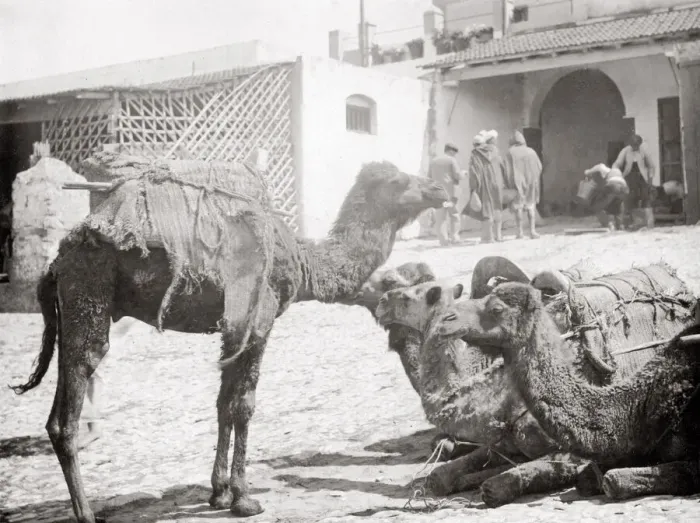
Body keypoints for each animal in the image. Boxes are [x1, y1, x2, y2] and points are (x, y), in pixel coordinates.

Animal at [10, 161, 448, 523]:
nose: (440, 188)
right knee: (71, 402)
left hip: (71, 311)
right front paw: (244, 498)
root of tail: (56, 261)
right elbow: (244, 405)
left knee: (60, 400)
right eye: (398, 181)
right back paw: (86, 513)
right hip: (89, 292)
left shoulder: (232, 328)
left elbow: (222, 404)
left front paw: (219, 493)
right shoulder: (259, 321)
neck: (301, 259)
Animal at [375, 261, 696, 506]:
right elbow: (441, 475)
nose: (381, 301)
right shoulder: (502, 443)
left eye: (413, 295)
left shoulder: (566, 451)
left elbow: (505, 482)